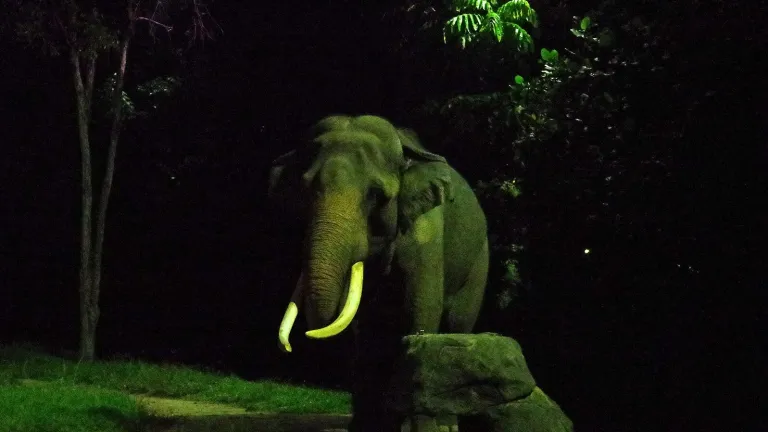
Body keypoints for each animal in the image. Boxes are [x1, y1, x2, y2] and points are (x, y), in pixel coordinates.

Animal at [268, 115, 488, 432]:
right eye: (304, 191)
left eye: (377, 196)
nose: (292, 346)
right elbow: (364, 332)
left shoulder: (426, 229)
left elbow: (420, 308)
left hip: (478, 263)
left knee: (457, 324)